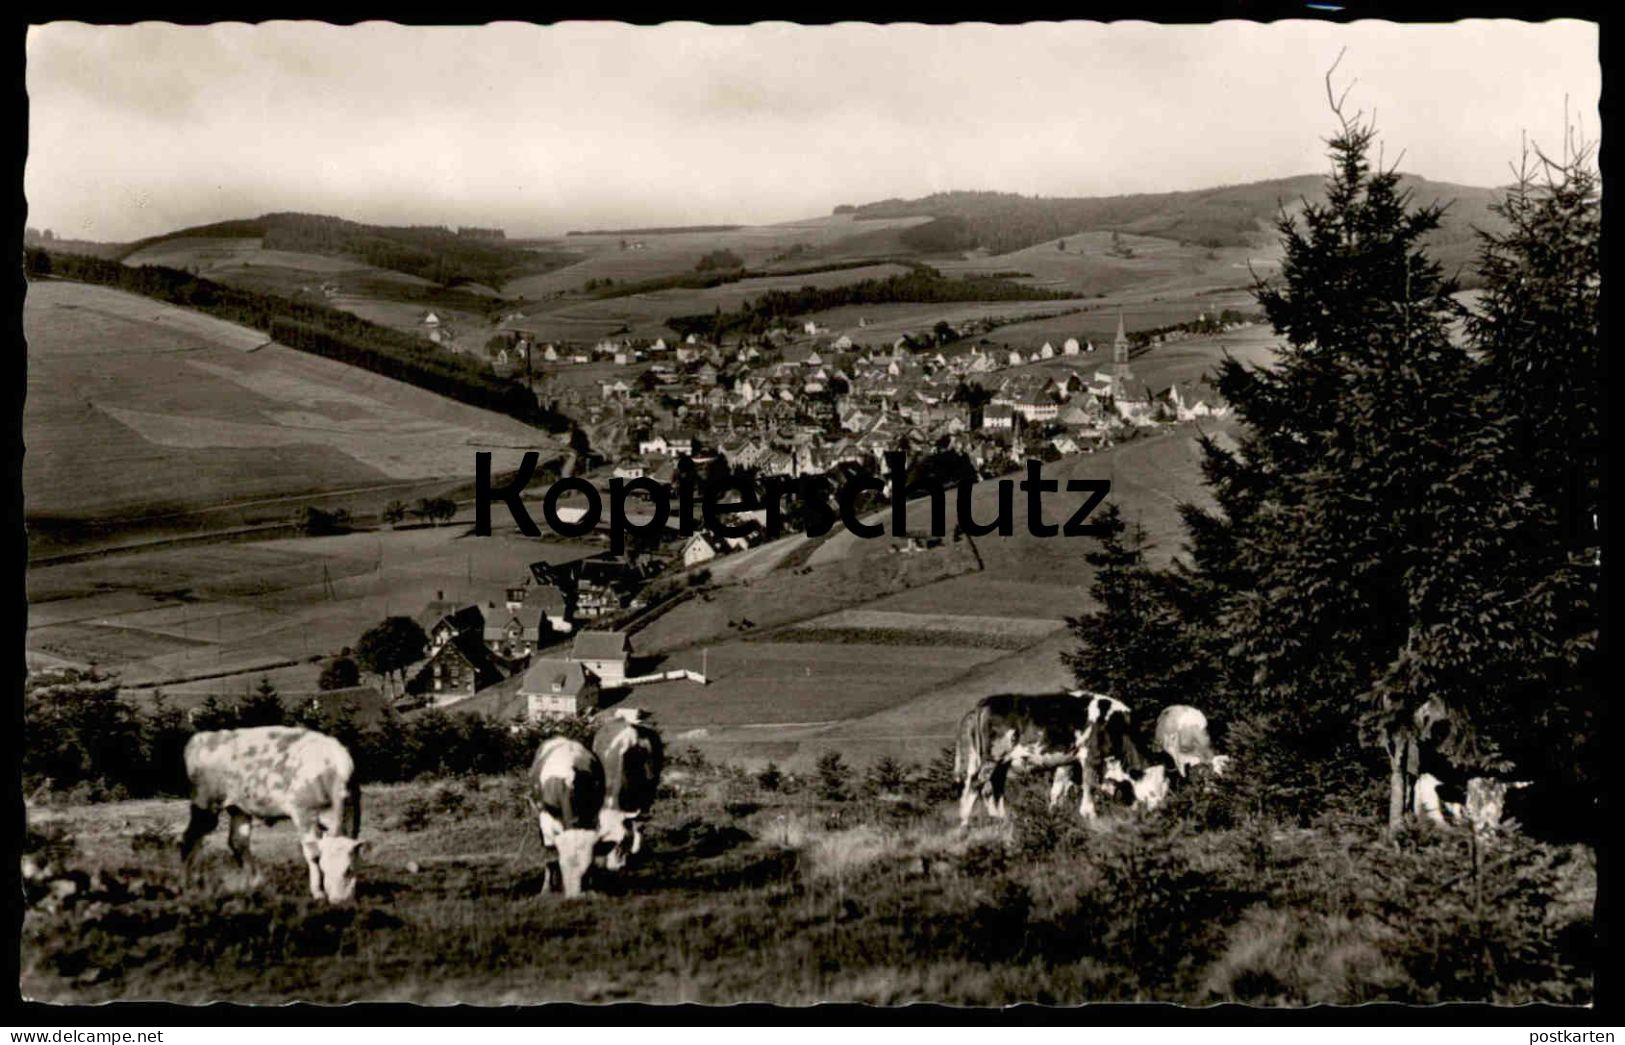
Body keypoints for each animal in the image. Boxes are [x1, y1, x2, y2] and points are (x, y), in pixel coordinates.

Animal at [179, 728, 367, 910]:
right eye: (324, 867)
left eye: (349, 870)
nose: (338, 901)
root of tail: (203, 737)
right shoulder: (303, 814)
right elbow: (312, 854)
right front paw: (318, 892)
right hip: (205, 806)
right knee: (189, 838)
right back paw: (190, 886)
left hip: (239, 809)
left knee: (238, 842)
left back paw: (254, 883)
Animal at [529, 734, 607, 897]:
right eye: (563, 866)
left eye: (586, 869)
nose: (574, 898)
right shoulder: (545, 817)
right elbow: (549, 856)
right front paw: (546, 889)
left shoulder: (592, 815)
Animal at [594, 708, 663, 871]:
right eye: (604, 841)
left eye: (624, 839)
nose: (614, 868)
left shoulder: (646, 794)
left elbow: (638, 822)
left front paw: (635, 848)